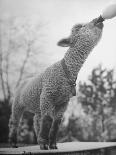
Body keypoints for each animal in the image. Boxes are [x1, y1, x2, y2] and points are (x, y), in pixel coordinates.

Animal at [8, 17, 103, 150]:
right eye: (82, 26)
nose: (98, 19)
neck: (65, 71)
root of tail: (23, 81)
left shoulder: (63, 102)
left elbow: (56, 123)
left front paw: (52, 145)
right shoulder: (47, 95)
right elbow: (48, 120)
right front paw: (45, 144)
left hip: (38, 104)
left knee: (36, 120)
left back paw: (38, 140)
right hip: (17, 104)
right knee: (14, 122)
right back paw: (14, 143)